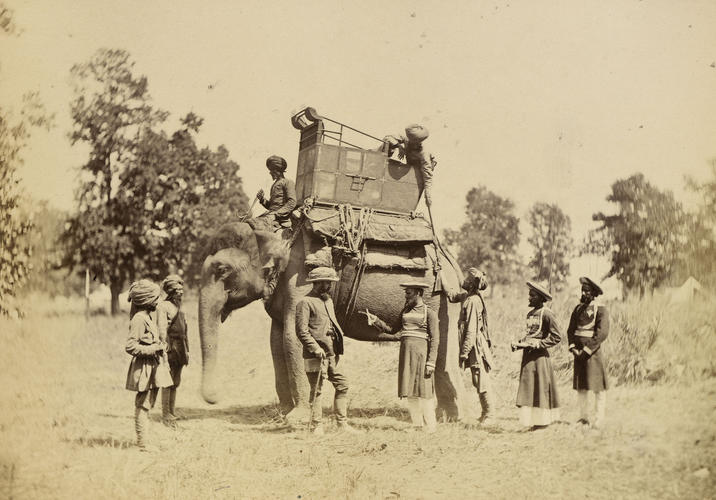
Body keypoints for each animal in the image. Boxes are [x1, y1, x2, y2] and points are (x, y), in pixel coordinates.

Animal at [199, 215, 470, 422]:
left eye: (222, 269)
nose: (217, 398)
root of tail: (452, 263)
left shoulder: (300, 277)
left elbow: (291, 338)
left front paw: (295, 419)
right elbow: (277, 341)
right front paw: (283, 415)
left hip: (439, 300)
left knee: (443, 352)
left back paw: (457, 419)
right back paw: (446, 417)